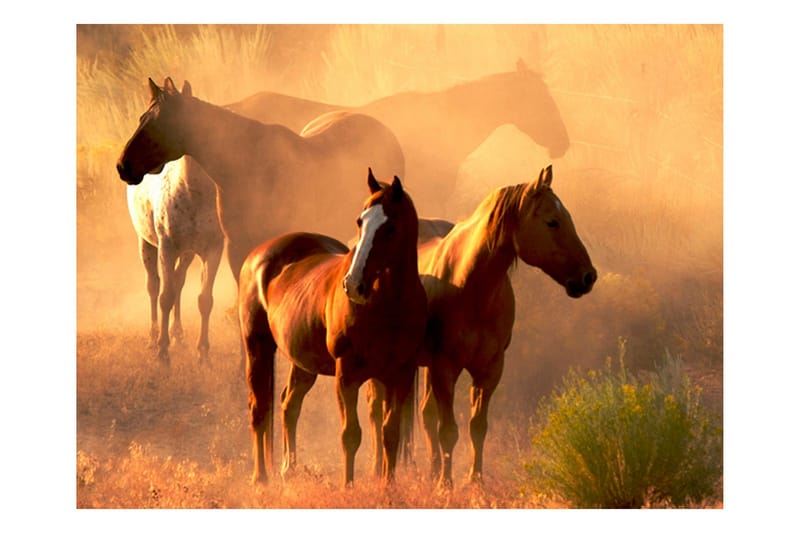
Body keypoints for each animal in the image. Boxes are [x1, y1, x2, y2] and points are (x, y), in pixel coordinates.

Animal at [116, 77, 405, 286]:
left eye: (158, 124)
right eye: (142, 119)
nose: (122, 166)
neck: (245, 169)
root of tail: (387, 131)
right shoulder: (236, 249)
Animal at [125, 154, 223, 364]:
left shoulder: (213, 250)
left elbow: (205, 300)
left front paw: (203, 353)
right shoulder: (167, 248)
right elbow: (165, 297)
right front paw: (162, 352)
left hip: (187, 254)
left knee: (178, 281)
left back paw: (178, 334)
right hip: (146, 244)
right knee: (153, 286)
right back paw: (153, 338)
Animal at [237, 170, 426, 487]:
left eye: (390, 227)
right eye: (360, 221)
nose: (353, 284)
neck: (388, 305)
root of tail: (258, 256)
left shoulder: (399, 374)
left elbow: (390, 433)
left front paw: (388, 487)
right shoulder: (346, 374)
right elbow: (350, 435)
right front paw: (347, 487)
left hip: (303, 363)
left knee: (289, 404)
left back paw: (289, 468)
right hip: (257, 348)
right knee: (259, 408)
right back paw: (260, 478)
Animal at [405, 165, 596, 487]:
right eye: (552, 222)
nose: (588, 276)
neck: (469, 286)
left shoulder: (491, 368)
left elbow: (477, 427)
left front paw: (475, 482)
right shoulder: (446, 368)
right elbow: (449, 430)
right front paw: (446, 486)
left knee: (425, 414)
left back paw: (430, 472)